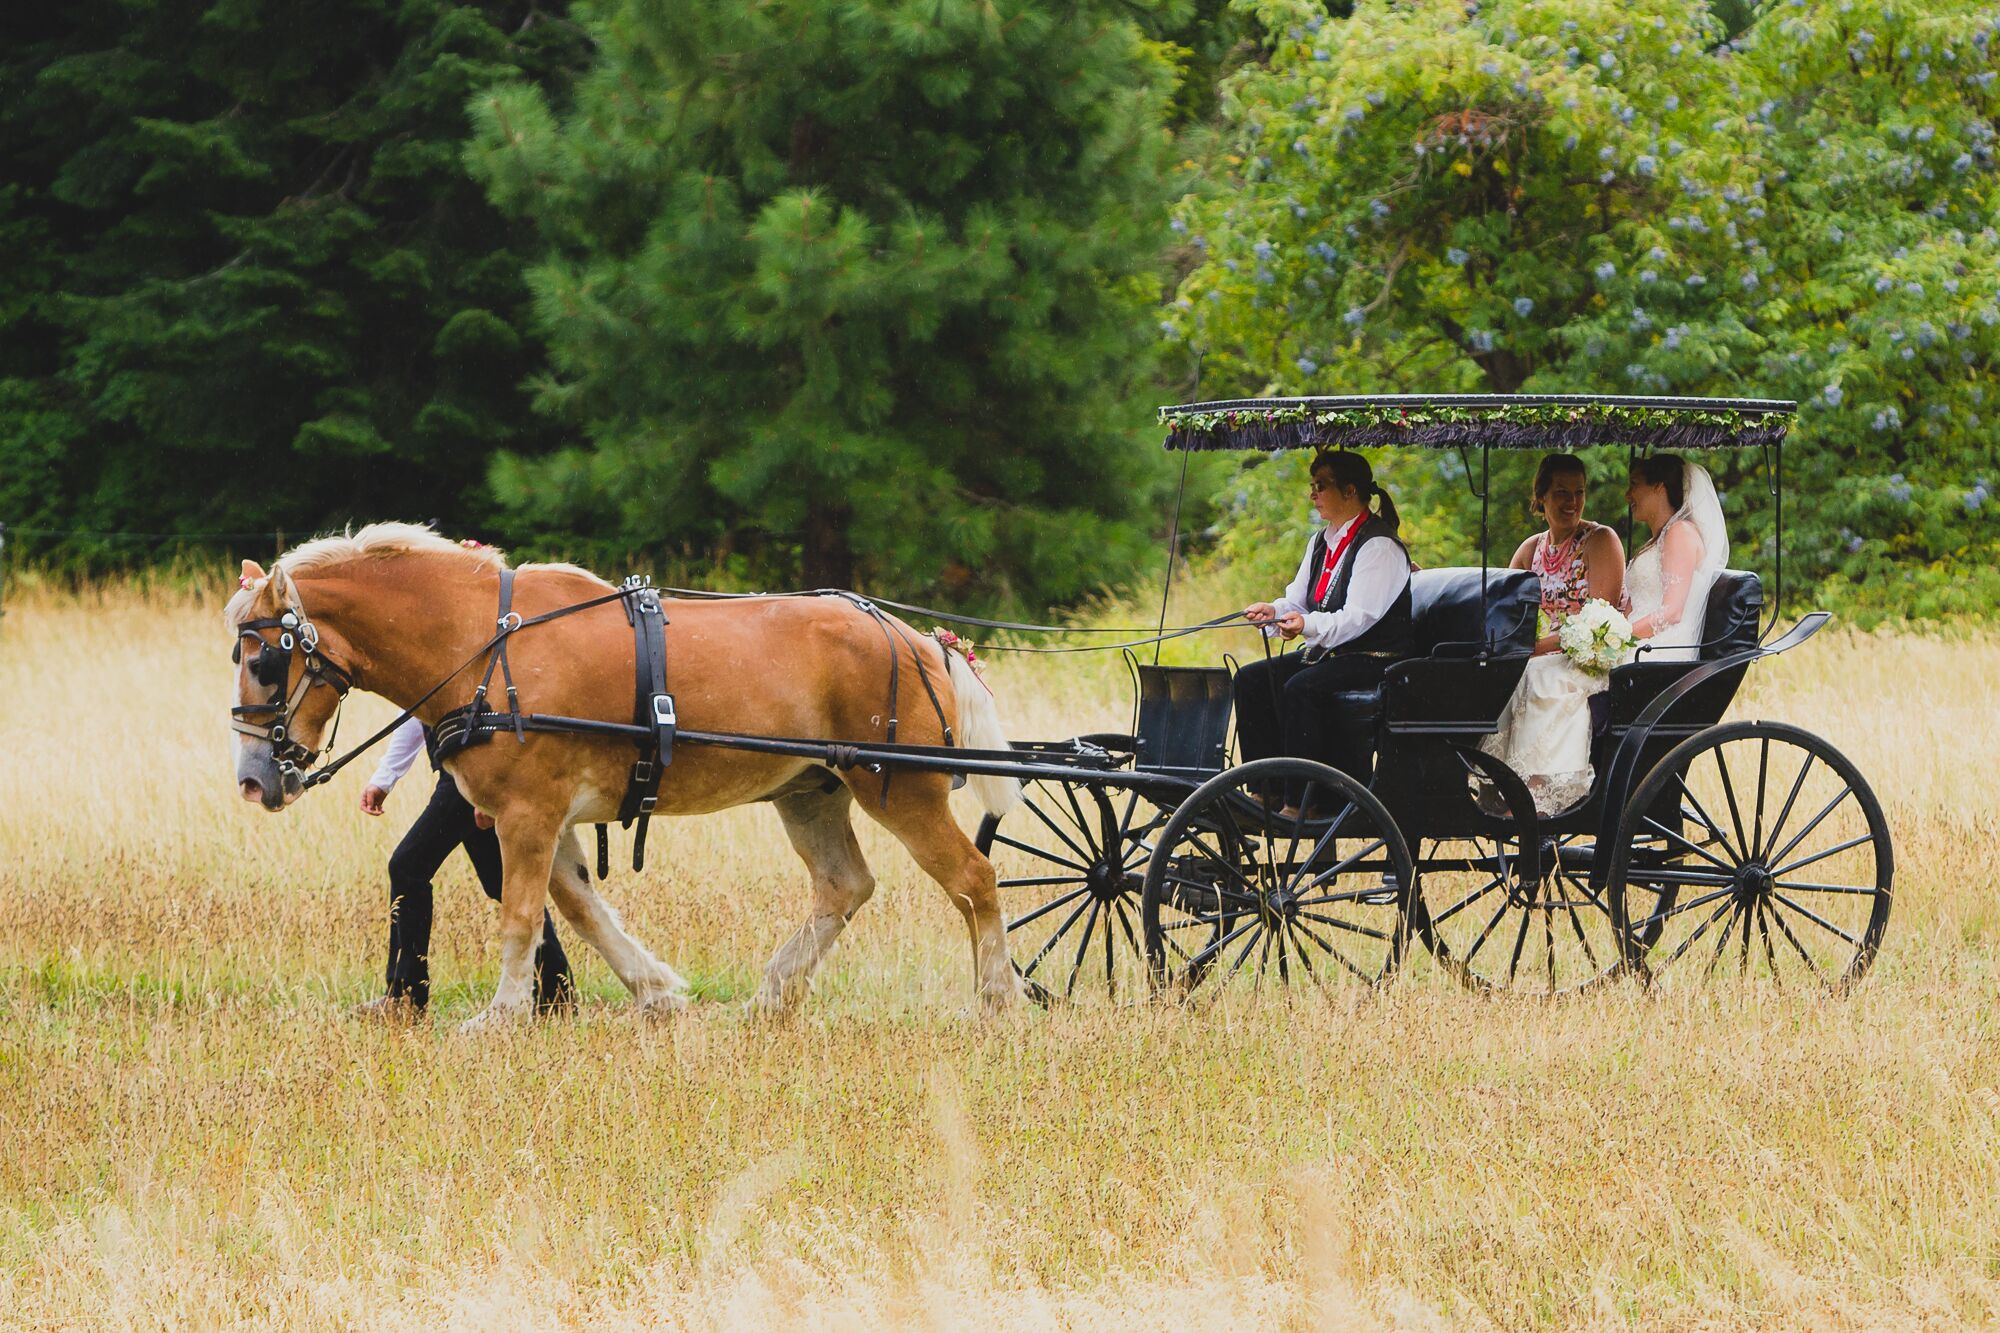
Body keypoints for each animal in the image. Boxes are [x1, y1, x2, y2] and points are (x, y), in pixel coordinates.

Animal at [227, 524, 1024, 1020]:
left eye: (263, 661)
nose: (253, 779)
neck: (484, 646)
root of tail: (923, 640)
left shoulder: (529, 812)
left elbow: (521, 913)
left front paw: (501, 1014)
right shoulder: (544, 816)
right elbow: (578, 907)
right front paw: (655, 990)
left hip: (904, 790)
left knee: (975, 879)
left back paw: (997, 1000)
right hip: (812, 791)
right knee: (844, 886)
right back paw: (771, 995)